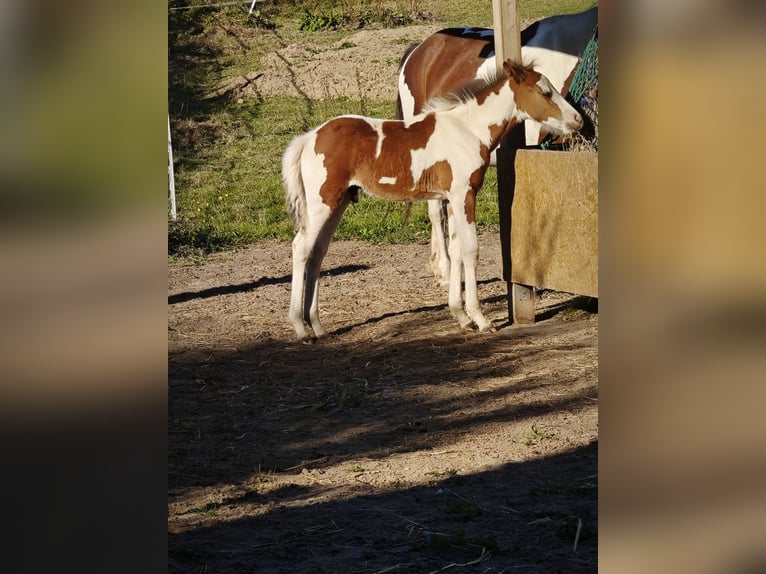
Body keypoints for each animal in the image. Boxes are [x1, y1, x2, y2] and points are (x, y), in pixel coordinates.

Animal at [284, 60, 584, 342]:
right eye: (545, 92)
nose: (578, 119)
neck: (470, 130)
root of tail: (310, 137)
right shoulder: (464, 194)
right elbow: (470, 251)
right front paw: (481, 320)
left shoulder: (451, 199)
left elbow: (456, 250)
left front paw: (461, 317)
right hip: (322, 204)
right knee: (301, 249)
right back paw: (300, 328)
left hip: (339, 202)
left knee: (317, 253)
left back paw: (318, 326)